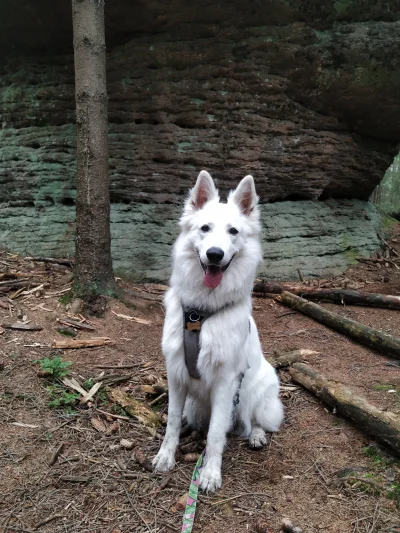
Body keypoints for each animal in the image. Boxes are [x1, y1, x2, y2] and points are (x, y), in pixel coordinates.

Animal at [153, 169, 284, 490]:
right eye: (205, 228)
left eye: (233, 232)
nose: (214, 254)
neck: (200, 314)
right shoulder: (176, 373)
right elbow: (172, 421)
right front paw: (166, 455)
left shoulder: (226, 382)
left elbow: (215, 435)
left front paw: (210, 473)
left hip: (253, 393)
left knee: (255, 421)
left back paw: (256, 435)